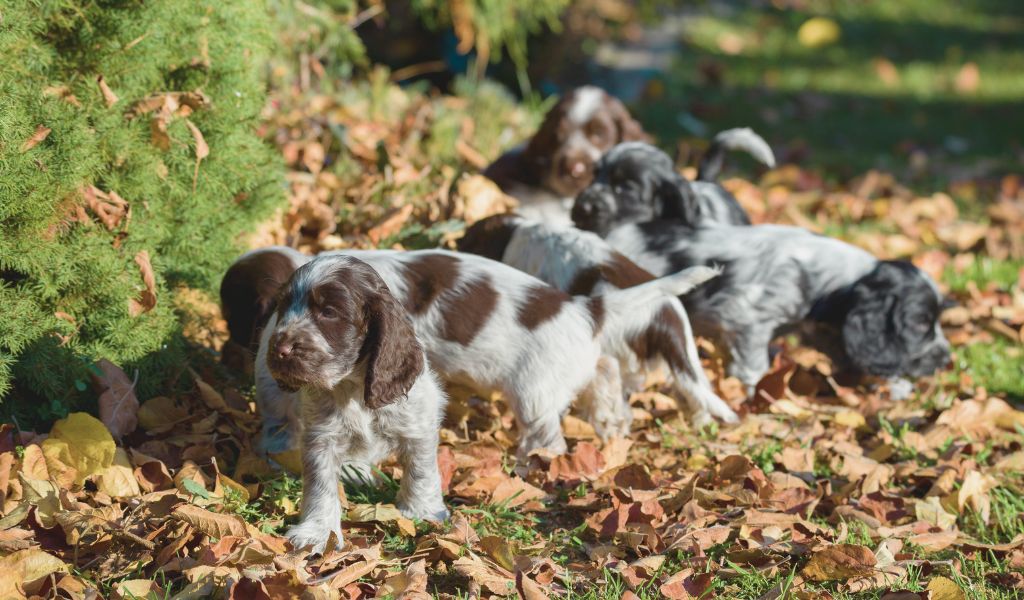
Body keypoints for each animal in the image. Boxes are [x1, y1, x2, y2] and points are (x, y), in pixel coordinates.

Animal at [225, 245, 720, 460]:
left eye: (330, 313)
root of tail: (584, 307)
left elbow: (281, 417)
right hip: (569, 367)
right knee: (603, 371)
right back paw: (612, 422)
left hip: (533, 391)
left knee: (547, 433)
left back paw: (531, 464)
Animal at [258, 253, 446, 552]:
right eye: (284, 306)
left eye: (329, 312)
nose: (280, 349)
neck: (353, 385)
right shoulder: (321, 438)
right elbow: (321, 486)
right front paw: (318, 533)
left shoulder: (419, 424)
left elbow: (421, 469)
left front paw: (421, 511)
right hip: (271, 393)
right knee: (278, 422)